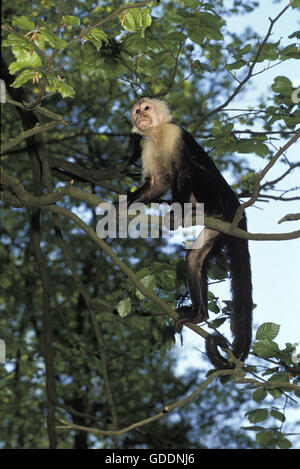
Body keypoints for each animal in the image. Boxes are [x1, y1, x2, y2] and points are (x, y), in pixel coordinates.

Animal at [118, 98, 252, 370]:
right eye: (136, 111)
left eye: (146, 108)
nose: (140, 116)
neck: (157, 133)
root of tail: (235, 208)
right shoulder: (147, 147)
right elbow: (156, 183)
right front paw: (120, 207)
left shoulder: (174, 133)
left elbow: (183, 171)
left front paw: (175, 212)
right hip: (218, 231)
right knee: (194, 260)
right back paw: (200, 315)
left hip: (224, 206)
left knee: (196, 170)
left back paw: (205, 209)